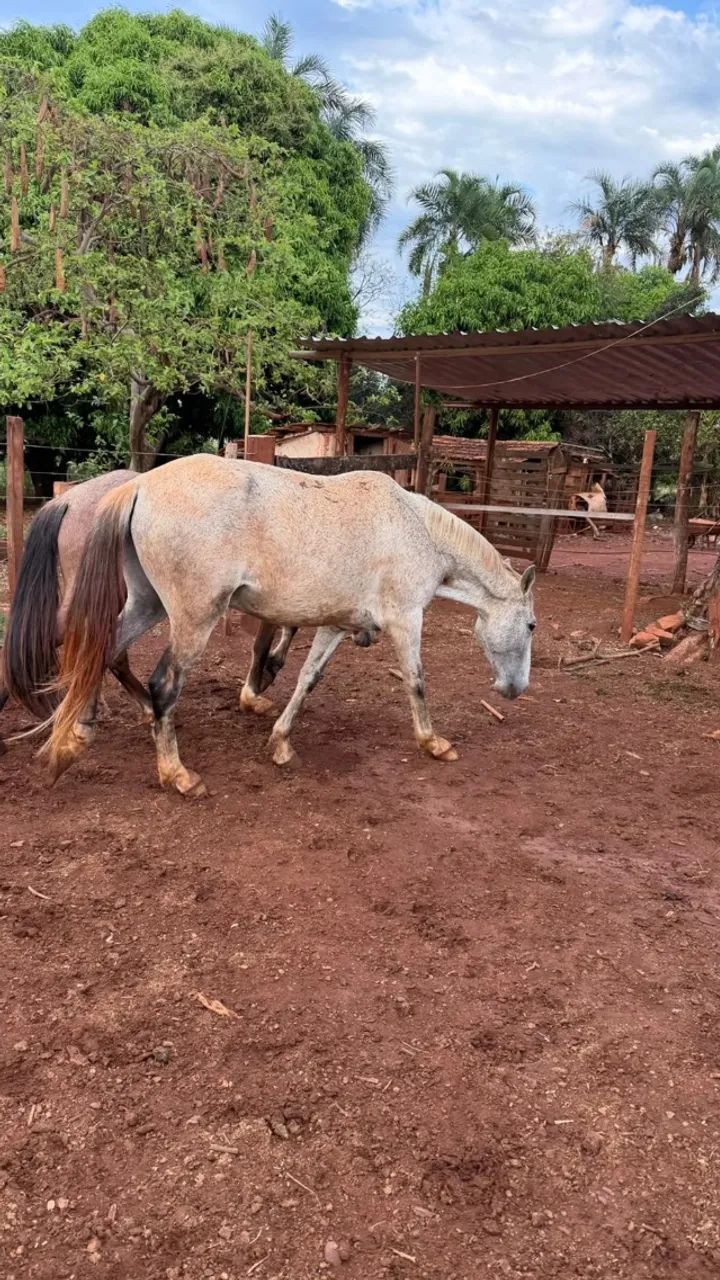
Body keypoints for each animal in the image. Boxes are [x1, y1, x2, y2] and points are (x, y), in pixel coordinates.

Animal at [42, 454, 536, 797]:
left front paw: (280, 742)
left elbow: (307, 679)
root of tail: (141, 485)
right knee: (162, 685)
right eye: (531, 625)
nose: (515, 689)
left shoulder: (337, 625)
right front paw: (433, 743)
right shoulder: (406, 619)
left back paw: (73, 739)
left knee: (102, 654)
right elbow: (416, 682)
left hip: (147, 605)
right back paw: (177, 774)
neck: (415, 530)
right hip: (193, 618)